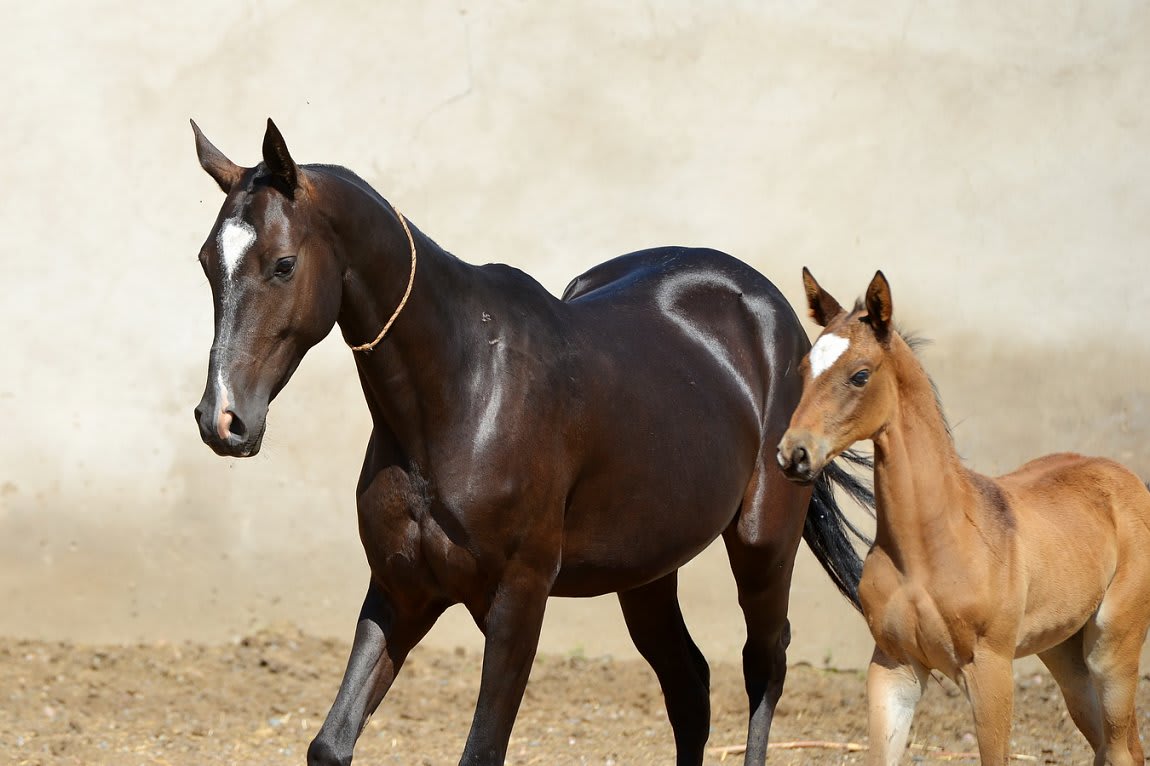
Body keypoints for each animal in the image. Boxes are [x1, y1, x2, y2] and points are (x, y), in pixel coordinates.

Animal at [189, 118, 872, 766]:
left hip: (763, 546)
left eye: (283, 264)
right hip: (647, 570)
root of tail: (774, 315)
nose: (222, 420)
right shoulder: (401, 589)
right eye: (206, 262)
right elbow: (331, 743)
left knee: (764, 664)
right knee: (688, 683)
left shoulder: (519, 598)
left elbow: (482, 751)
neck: (460, 396)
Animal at [777, 269, 1150, 765]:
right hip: (1064, 652)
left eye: (860, 375)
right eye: (804, 370)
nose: (794, 454)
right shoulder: (893, 667)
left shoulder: (989, 667)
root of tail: (1127, 478)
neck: (930, 546)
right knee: (1110, 745)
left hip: (1112, 648)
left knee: (1122, 747)